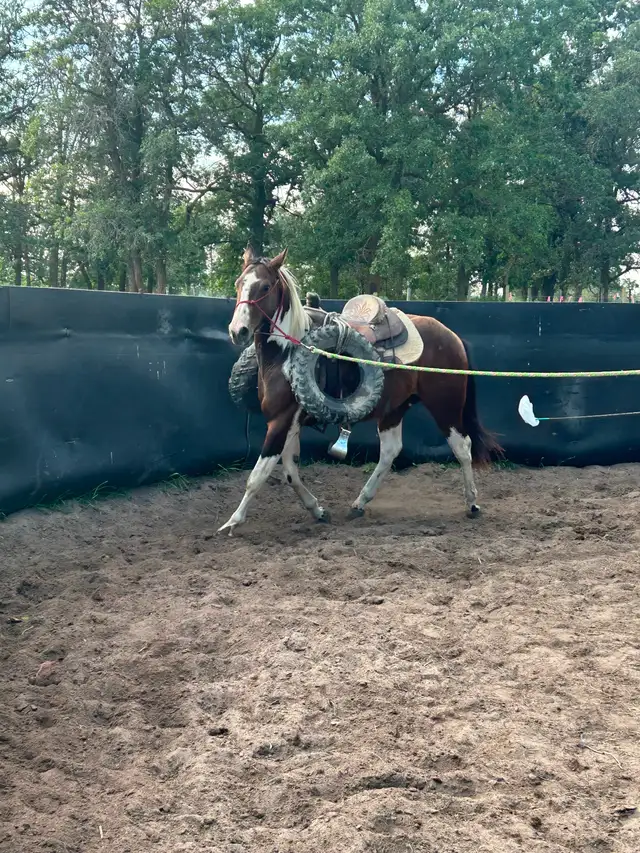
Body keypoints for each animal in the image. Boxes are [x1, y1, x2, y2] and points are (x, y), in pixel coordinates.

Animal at [218, 246, 501, 535]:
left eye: (264, 286)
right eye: (239, 283)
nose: (237, 331)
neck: (288, 350)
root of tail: (453, 336)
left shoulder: (280, 420)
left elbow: (259, 474)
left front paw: (232, 521)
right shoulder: (291, 423)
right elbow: (289, 470)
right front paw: (317, 510)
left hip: (445, 406)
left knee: (462, 447)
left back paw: (472, 503)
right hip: (395, 408)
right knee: (390, 451)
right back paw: (360, 503)